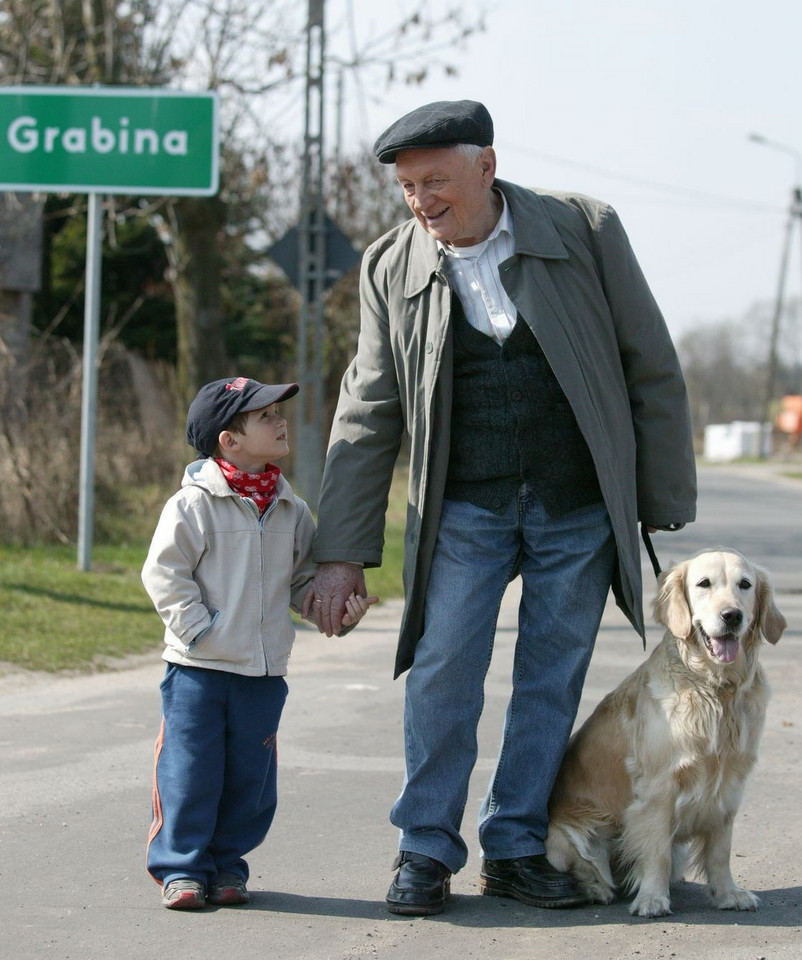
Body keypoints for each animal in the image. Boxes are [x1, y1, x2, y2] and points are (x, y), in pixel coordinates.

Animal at [544, 548, 780, 916]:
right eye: (704, 583)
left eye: (745, 584)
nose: (732, 616)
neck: (716, 688)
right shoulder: (659, 786)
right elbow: (655, 851)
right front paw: (652, 899)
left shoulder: (729, 785)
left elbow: (720, 851)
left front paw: (728, 893)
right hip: (570, 834)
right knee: (590, 868)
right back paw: (597, 890)